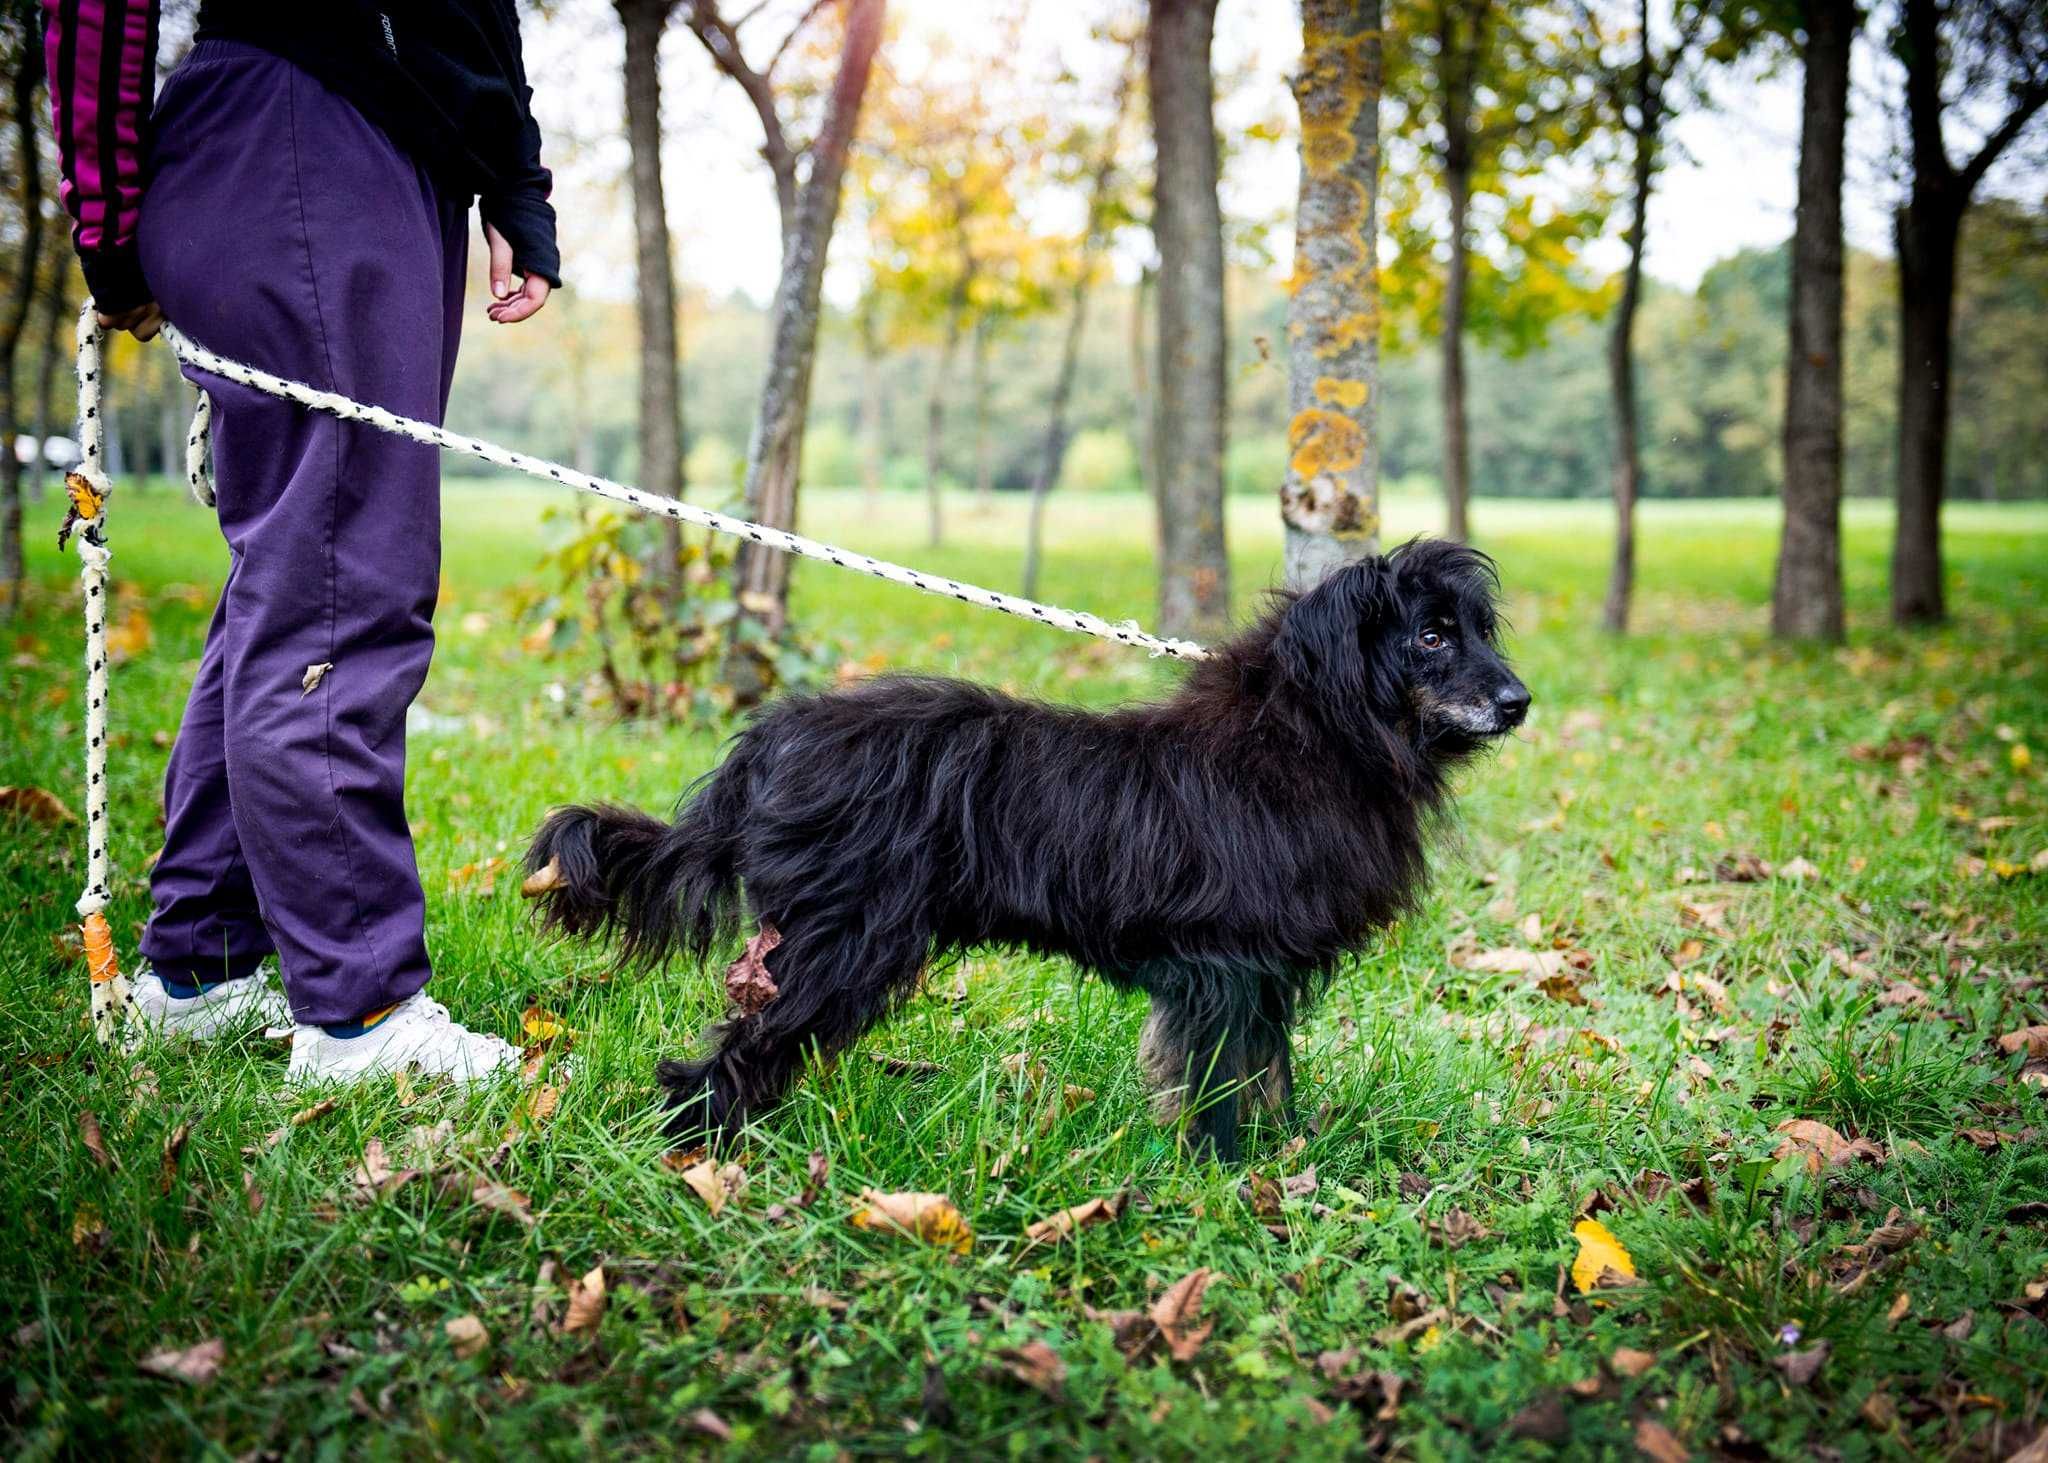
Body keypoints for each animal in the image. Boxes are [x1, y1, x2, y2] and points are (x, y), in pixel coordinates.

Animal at [524, 528, 1523, 1155]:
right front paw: (1225, 1175)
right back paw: (703, 1151)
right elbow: (1216, 1086)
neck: (1316, 732)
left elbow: (1264, 1075)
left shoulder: (1263, 975)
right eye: (1431, 636)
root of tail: (771, 739)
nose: (1518, 702)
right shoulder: (1225, 966)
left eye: (1477, 629)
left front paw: (1281, 1156)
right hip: (838, 946)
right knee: (726, 1058)